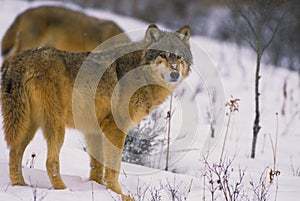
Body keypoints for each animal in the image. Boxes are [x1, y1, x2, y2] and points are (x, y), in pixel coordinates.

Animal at [0, 24, 192, 200]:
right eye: (163, 55)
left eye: (179, 57)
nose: (174, 74)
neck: (139, 74)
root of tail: (17, 60)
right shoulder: (116, 129)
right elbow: (114, 168)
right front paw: (119, 195)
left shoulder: (95, 130)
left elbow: (97, 167)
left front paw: (97, 188)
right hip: (55, 127)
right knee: (50, 162)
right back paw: (64, 192)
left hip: (27, 126)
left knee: (14, 152)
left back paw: (21, 186)